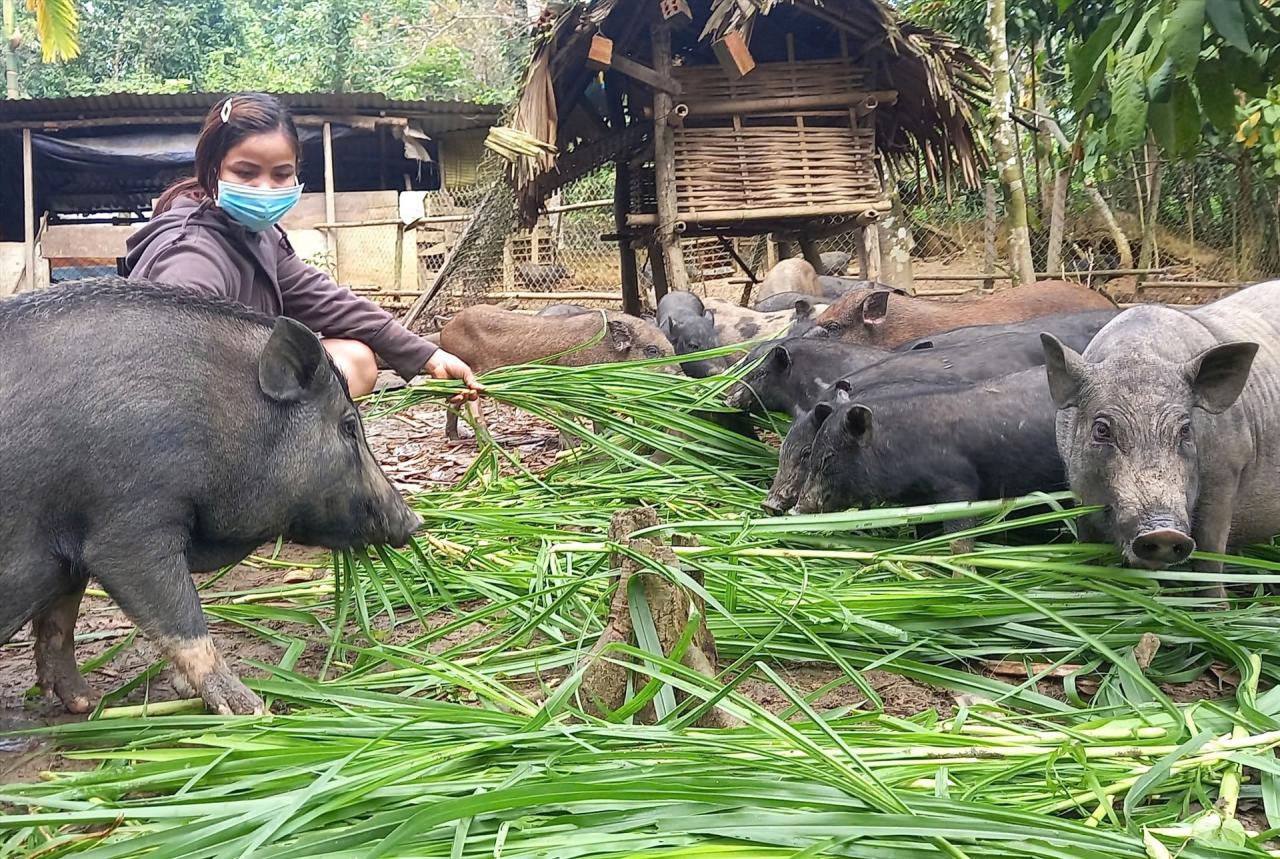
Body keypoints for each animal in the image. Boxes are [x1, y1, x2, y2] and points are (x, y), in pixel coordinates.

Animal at [0, 279, 419, 716]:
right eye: (349, 426)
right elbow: (181, 619)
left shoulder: (69, 555)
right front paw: (251, 710)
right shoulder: (127, 526)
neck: (225, 416)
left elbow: (60, 624)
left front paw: (86, 703)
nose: (415, 521)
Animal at [1039, 279, 1280, 594]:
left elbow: (1209, 560)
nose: (1164, 532)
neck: (1139, 353)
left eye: (1185, 429)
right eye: (1101, 429)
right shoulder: (1079, 491)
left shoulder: (1226, 473)